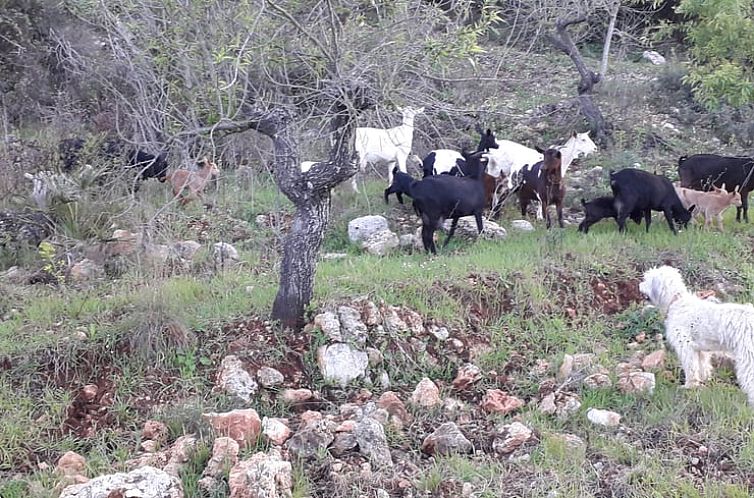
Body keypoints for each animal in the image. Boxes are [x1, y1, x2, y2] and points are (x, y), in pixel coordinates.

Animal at [636, 264, 752, 404]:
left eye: (646, 279)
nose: (639, 285)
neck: (676, 301)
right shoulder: (700, 350)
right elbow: (703, 367)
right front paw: (703, 380)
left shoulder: (685, 346)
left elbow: (690, 368)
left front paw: (689, 386)